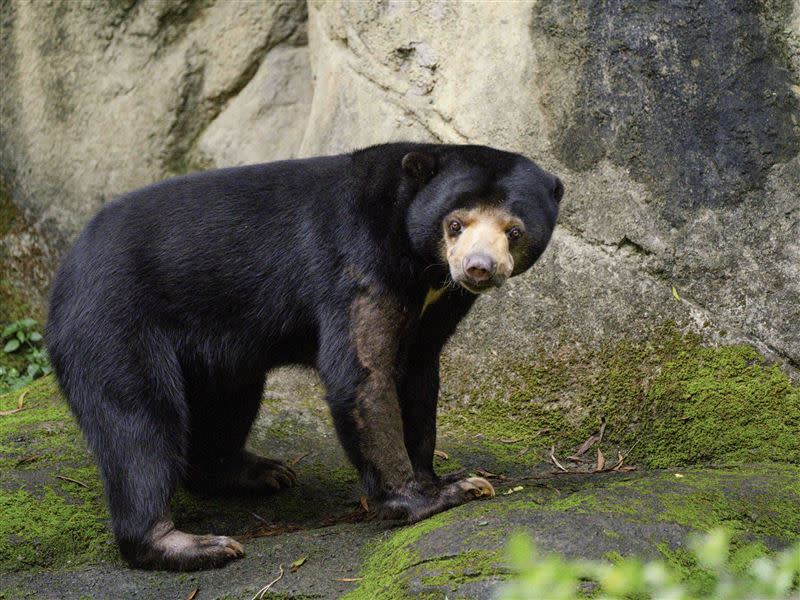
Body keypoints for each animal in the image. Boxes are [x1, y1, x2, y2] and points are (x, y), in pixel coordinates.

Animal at [48, 143, 564, 568]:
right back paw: (192, 543)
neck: (420, 263)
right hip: (114, 326)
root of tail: (65, 273)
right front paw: (441, 494)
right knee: (140, 427)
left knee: (225, 403)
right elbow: (362, 374)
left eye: (514, 231)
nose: (477, 269)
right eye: (455, 224)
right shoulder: (359, 264)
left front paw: (439, 474)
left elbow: (417, 377)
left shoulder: (438, 307)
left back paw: (259, 473)